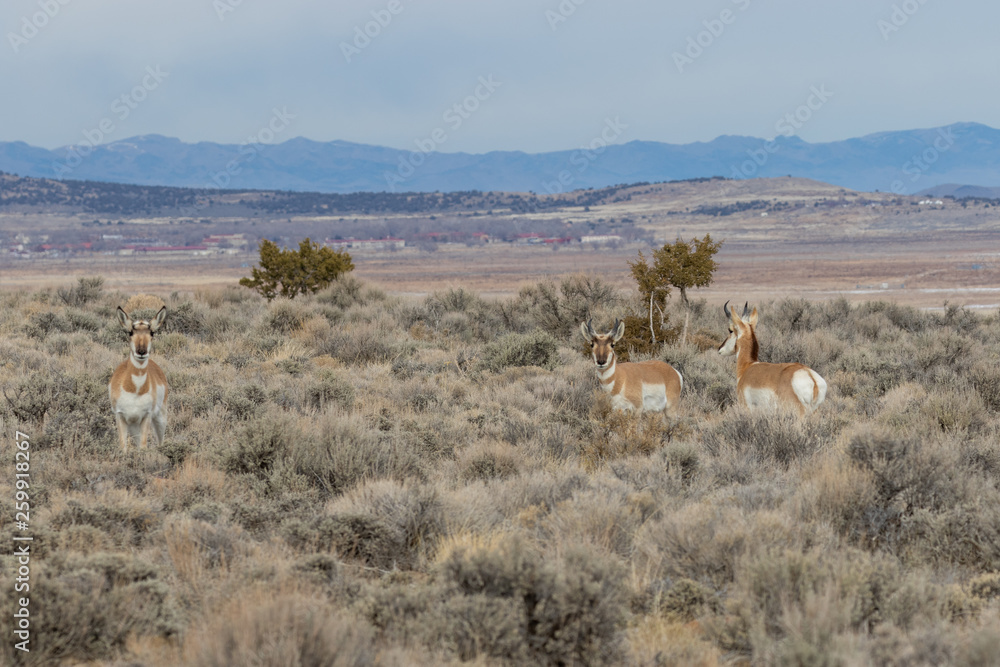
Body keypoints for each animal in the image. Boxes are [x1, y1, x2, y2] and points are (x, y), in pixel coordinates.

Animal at [109, 306, 169, 452]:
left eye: (152, 332)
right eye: (130, 332)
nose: (141, 352)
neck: (135, 390)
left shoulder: (146, 416)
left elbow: (143, 446)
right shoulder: (120, 416)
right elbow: (123, 447)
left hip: (160, 418)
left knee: (160, 440)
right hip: (133, 425)